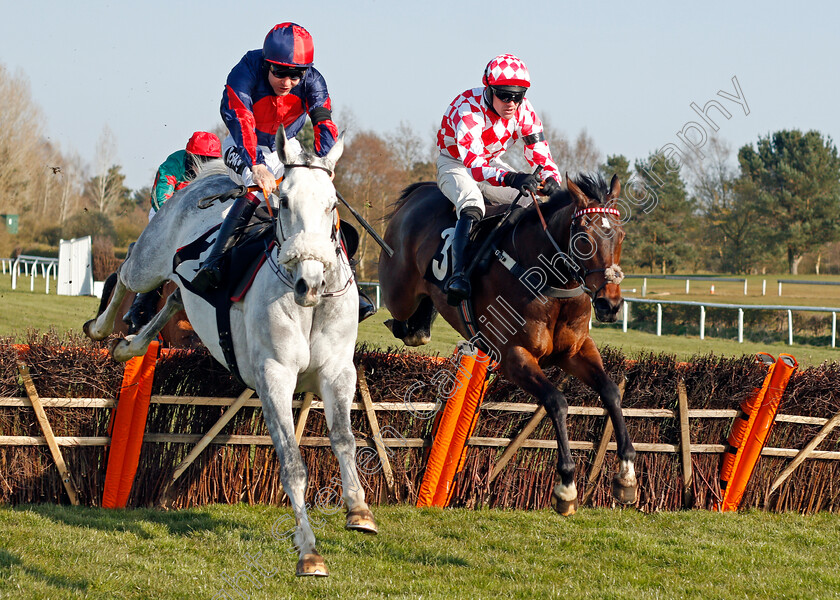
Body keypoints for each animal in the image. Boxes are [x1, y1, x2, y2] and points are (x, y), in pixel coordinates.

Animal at [84, 126, 374, 576]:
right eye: (284, 201)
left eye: (331, 206)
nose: (310, 283)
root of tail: (209, 178)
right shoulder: (274, 377)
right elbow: (293, 464)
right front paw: (308, 551)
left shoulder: (338, 372)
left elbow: (344, 439)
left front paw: (359, 510)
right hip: (151, 258)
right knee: (128, 271)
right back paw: (103, 330)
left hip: (181, 285)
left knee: (174, 298)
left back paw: (130, 345)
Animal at [380, 173, 636, 516]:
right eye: (584, 237)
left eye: (620, 235)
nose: (610, 304)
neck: (550, 280)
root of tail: (420, 191)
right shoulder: (514, 356)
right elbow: (557, 401)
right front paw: (566, 485)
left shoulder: (576, 350)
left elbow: (610, 392)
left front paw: (626, 475)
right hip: (398, 293)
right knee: (397, 315)